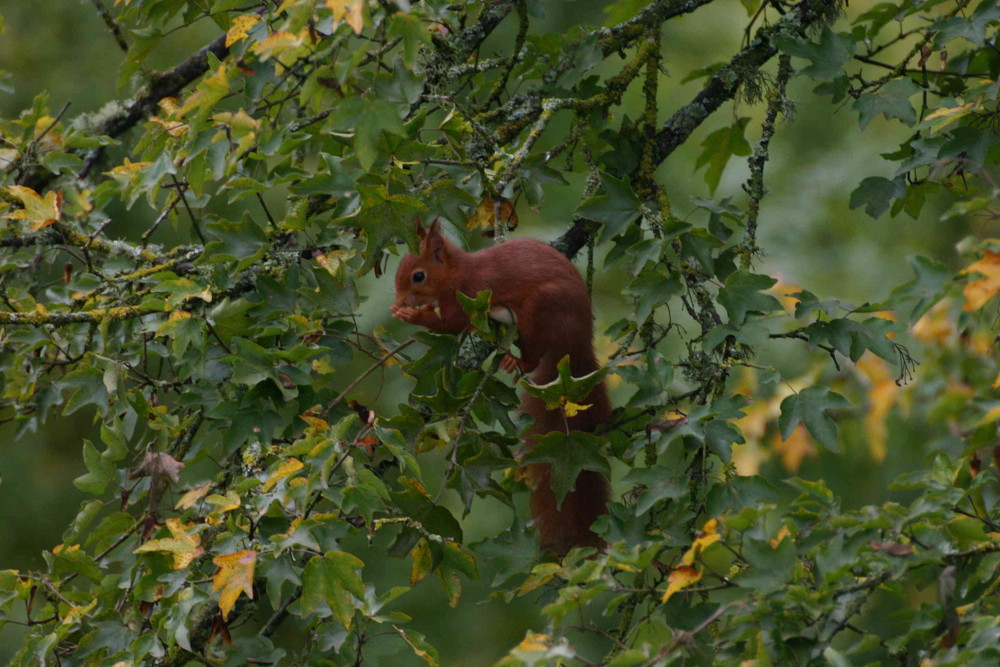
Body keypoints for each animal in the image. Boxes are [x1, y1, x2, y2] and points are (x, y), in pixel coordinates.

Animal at [390, 219, 608, 552]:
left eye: (418, 276)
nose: (400, 300)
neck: (458, 272)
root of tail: (578, 342)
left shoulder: (469, 297)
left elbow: (450, 324)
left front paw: (410, 314)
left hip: (541, 308)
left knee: (534, 354)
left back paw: (516, 362)